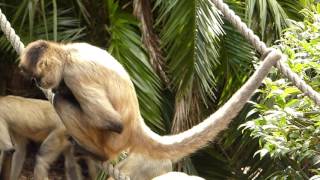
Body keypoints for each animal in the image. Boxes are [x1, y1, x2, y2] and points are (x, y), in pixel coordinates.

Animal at [18, 40, 276, 167]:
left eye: (37, 77)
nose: (39, 83)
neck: (68, 52)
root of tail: (136, 125)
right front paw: (58, 88)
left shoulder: (75, 74)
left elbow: (111, 121)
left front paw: (60, 90)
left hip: (110, 140)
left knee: (64, 103)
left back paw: (97, 154)